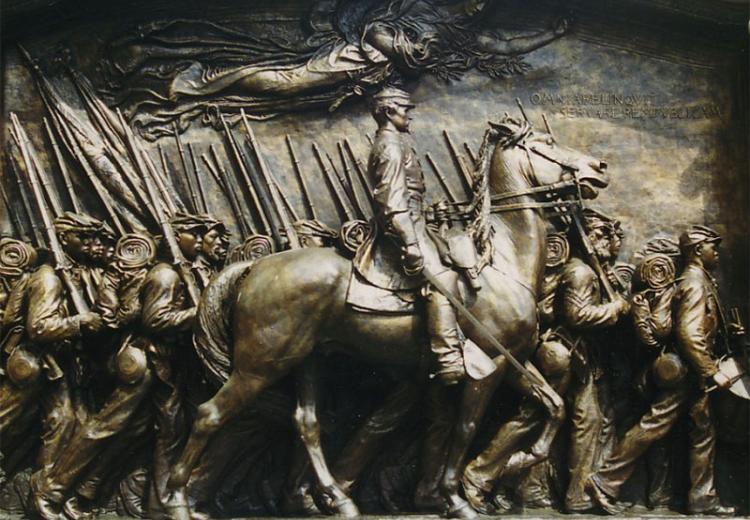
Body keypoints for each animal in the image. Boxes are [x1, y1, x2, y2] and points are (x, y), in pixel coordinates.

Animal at [169, 118, 612, 520]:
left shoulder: (512, 360)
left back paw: (335, 500)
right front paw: (457, 497)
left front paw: (519, 460)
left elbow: (553, 405)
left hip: (308, 361)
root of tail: (256, 268)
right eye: (548, 143)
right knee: (210, 415)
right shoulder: (490, 364)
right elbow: (466, 428)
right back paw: (177, 500)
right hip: (260, 365)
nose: (600, 167)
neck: (500, 262)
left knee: (306, 423)